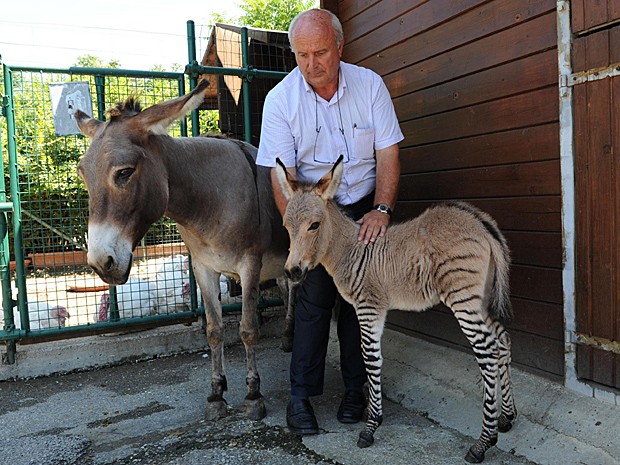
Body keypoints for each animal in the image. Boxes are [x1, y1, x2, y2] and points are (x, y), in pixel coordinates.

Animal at [278, 158, 516, 462]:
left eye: (314, 225)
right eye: (286, 226)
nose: (292, 272)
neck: (352, 250)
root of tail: (482, 225)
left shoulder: (369, 306)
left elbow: (370, 359)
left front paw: (370, 426)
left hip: (463, 298)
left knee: (488, 352)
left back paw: (483, 442)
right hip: (480, 298)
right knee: (503, 340)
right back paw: (507, 417)